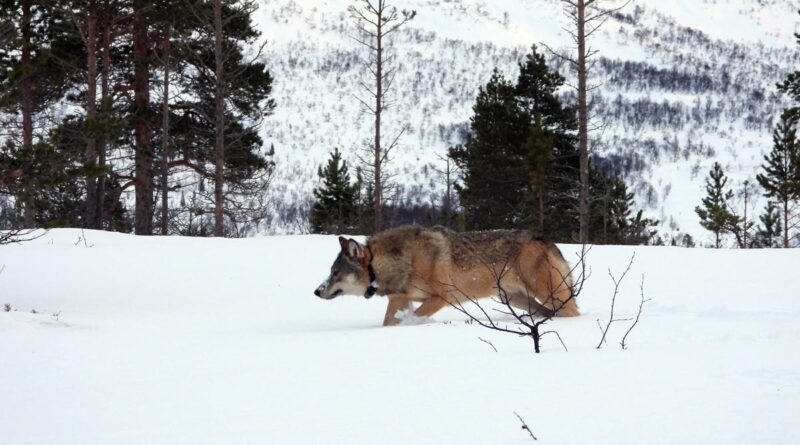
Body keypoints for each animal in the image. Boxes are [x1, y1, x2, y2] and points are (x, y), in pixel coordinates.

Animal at [314, 225, 580, 326]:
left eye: (335, 273)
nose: (316, 291)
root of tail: (546, 240)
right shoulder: (400, 300)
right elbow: (389, 323)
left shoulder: (444, 297)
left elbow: (414, 318)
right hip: (517, 300)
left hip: (548, 295)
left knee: (573, 312)